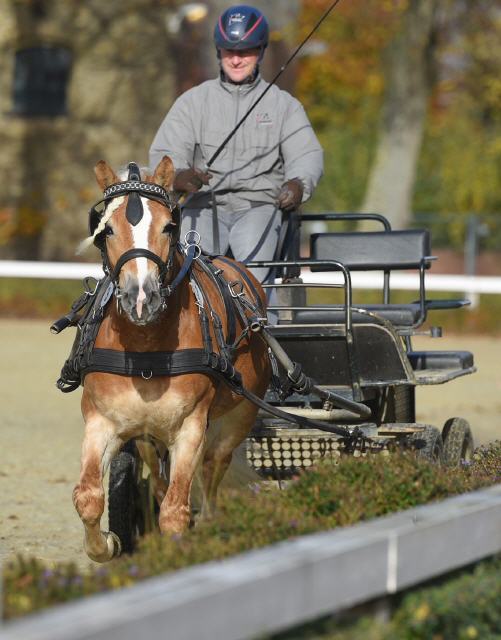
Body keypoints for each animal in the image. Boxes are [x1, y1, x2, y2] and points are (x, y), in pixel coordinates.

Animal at [71, 158, 270, 564]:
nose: (141, 298)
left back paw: (208, 524)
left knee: (211, 472)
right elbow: (88, 497)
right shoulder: (102, 420)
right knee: (160, 478)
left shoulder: (191, 426)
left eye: (168, 226)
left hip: (237, 417)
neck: (147, 350)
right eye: (106, 230)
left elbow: (177, 511)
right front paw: (108, 544)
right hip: (149, 436)